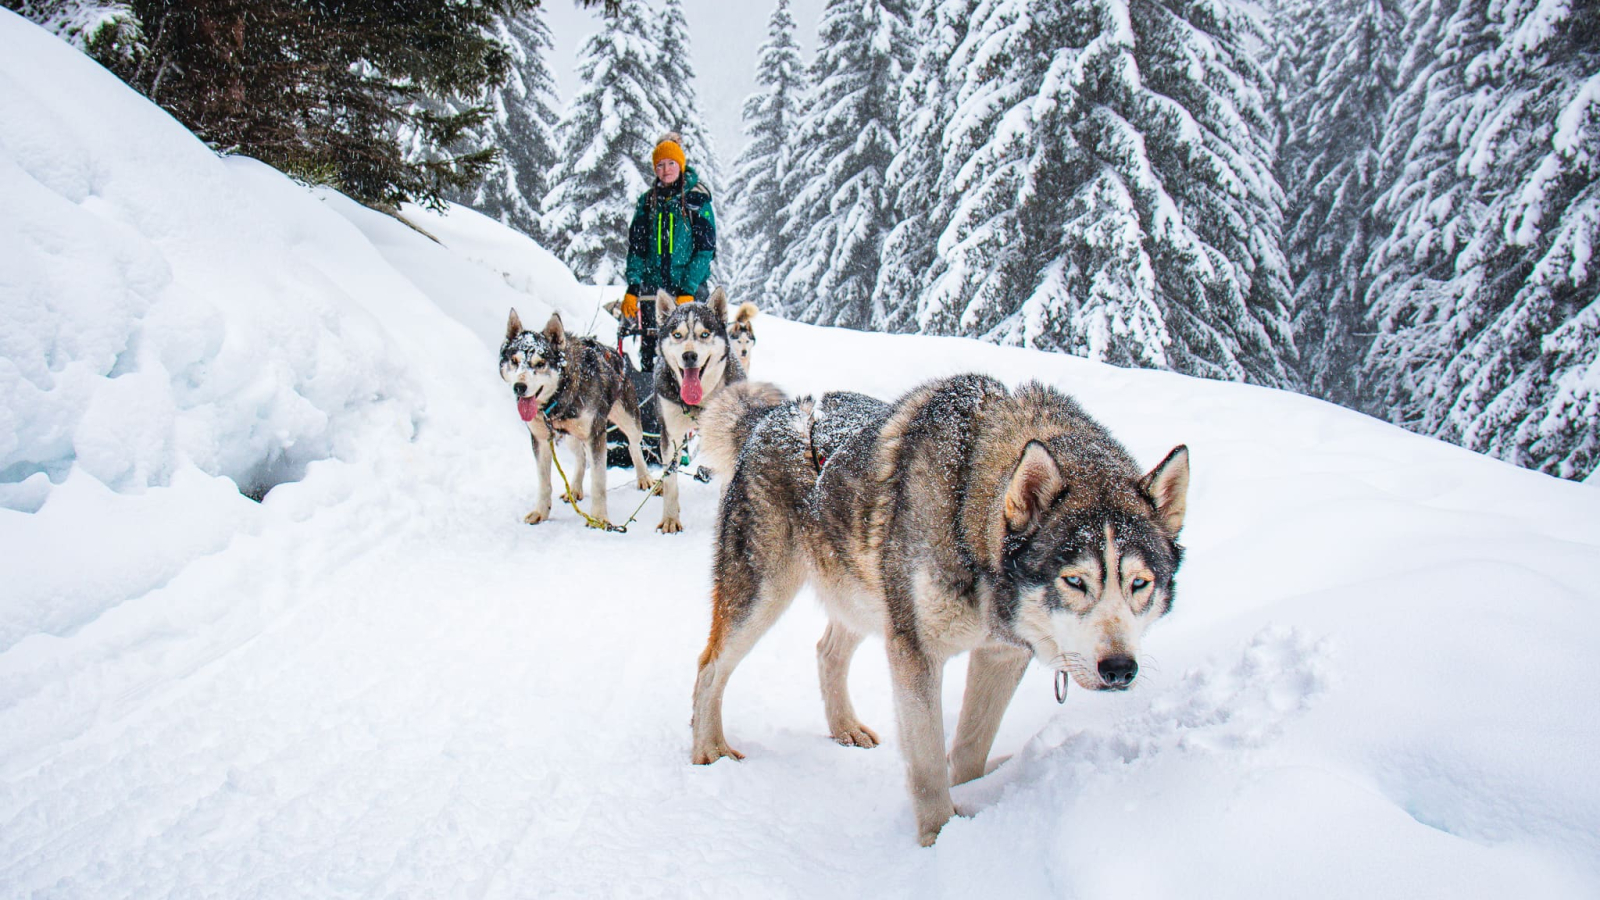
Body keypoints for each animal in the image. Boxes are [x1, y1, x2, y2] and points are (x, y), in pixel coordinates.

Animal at [499, 305, 649, 522]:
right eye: (514, 361)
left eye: (540, 363)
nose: (519, 387)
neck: (558, 398)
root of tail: (614, 353)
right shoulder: (540, 439)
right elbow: (544, 482)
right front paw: (541, 512)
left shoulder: (596, 436)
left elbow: (598, 482)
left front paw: (599, 518)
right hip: (571, 437)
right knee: (581, 458)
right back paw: (575, 489)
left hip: (629, 421)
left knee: (634, 446)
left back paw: (645, 478)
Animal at [652, 286, 745, 528]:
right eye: (677, 334)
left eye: (705, 334)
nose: (689, 355)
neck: (699, 402)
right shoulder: (671, 435)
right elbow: (671, 481)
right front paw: (670, 519)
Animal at [688, 374, 1190, 845]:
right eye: (1074, 581)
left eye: (1139, 584)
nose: (1120, 668)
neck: (966, 511)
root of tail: (771, 417)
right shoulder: (915, 652)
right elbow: (928, 763)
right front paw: (938, 838)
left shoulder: (1002, 654)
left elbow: (971, 746)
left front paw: (968, 800)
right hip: (764, 596)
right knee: (711, 666)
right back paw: (708, 747)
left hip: (865, 598)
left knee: (827, 652)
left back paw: (844, 727)